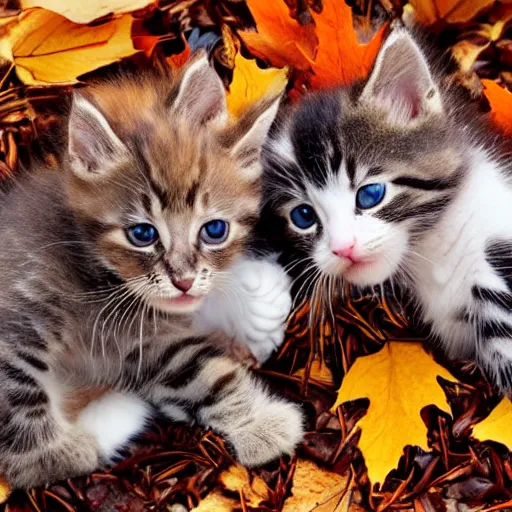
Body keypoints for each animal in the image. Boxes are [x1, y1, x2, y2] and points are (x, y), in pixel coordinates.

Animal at [0, 54, 302, 490]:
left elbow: (200, 364)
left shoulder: (148, 343)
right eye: (142, 234)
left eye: (214, 230)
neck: (101, 273)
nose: (184, 280)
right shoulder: (36, 310)